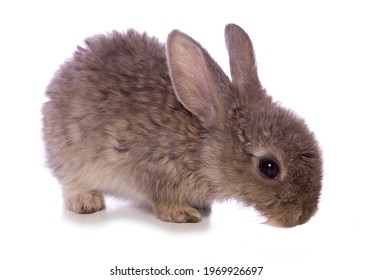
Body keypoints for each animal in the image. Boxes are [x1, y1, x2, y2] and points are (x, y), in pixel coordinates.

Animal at [42, 24, 322, 228]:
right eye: (269, 168)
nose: (303, 217)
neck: (201, 149)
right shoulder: (151, 170)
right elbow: (161, 199)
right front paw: (181, 214)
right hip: (70, 157)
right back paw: (86, 201)